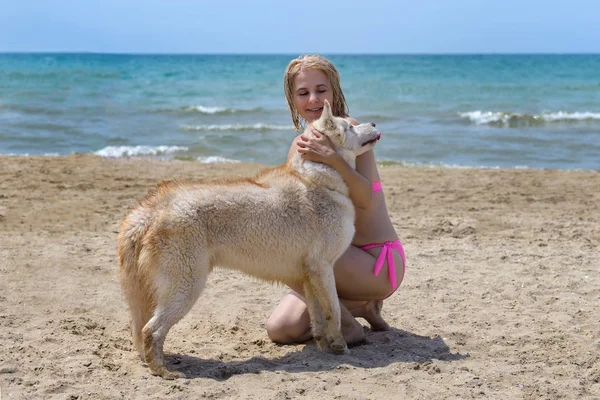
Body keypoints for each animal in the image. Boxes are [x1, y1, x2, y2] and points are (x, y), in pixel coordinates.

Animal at [116, 100, 380, 378]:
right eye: (349, 126)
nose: (374, 123)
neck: (318, 177)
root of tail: (149, 210)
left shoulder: (310, 276)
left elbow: (318, 318)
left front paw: (325, 348)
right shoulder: (324, 268)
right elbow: (335, 311)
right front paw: (340, 346)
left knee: (141, 329)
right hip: (186, 287)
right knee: (151, 330)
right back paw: (164, 371)